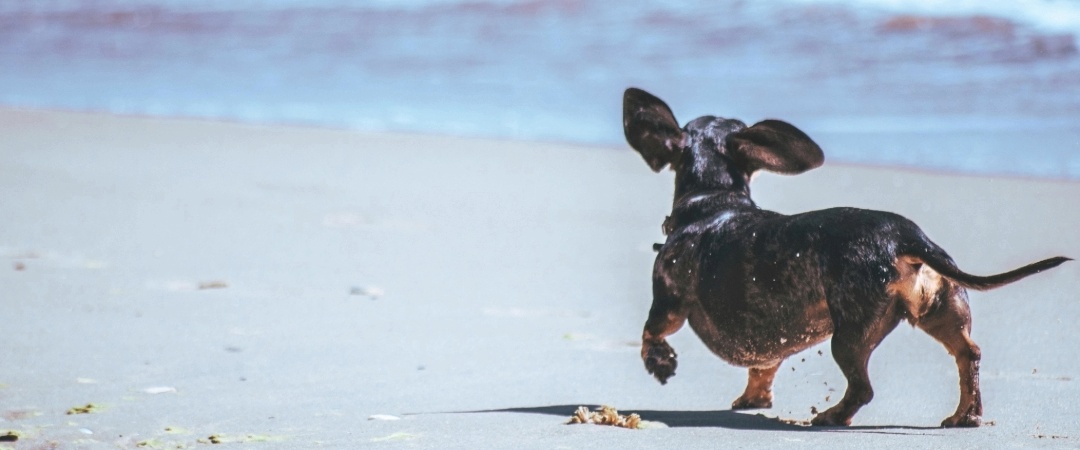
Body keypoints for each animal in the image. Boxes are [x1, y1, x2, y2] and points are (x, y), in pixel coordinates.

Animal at [626, 85, 1071, 425]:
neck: (713, 202)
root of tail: (905, 236)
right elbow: (763, 368)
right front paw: (754, 399)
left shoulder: (668, 301)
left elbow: (650, 331)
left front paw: (659, 362)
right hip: (942, 310)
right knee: (969, 355)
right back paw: (966, 415)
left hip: (849, 335)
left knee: (862, 388)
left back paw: (831, 416)